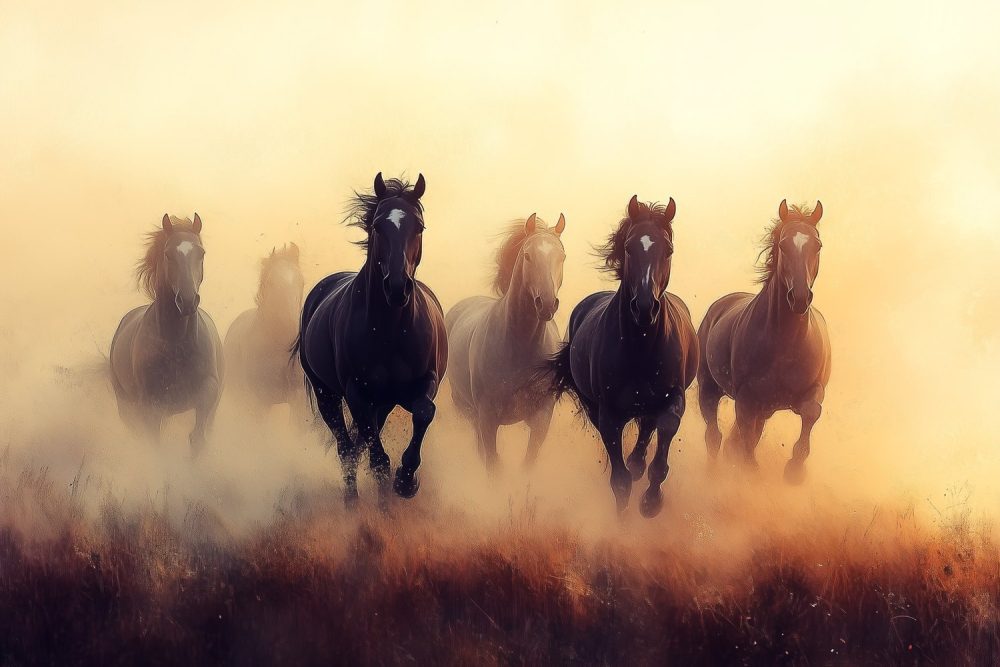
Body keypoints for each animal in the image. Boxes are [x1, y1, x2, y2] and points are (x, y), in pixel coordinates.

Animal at [109, 214, 224, 455]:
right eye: (168, 254)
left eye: (201, 253)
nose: (188, 301)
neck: (176, 346)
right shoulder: (149, 405)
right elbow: (155, 444)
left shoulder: (209, 389)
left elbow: (197, 436)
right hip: (126, 407)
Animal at [295, 173, 447, 508]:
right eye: (378, 226)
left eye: (419, 226)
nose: (398, 287)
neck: (391, 330)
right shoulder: (357, 394)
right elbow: (376, 458)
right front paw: (388, 498)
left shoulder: (423, 382)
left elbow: (424, 412)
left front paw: (406, 481)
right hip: (327, 394)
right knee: (346, 447)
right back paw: (352, 502)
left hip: (383, 402)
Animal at [446, 213, 567, 470]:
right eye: (527, 255)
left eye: (562, 256)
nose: (547, 304)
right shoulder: (487, 418)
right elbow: (493, 464)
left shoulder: (542, 417)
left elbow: (528, 464)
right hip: (465, 409)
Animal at [549, 195, 699, 517]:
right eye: (629, 247)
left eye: (668, 249)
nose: (644, 307)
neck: (640, 348)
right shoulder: (609, 414)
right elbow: (620, 481)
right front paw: (622, 520)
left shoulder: (672, 399)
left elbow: (663, 434)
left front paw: (651, 502)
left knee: (648, 430)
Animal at [697, 200, 831, 483]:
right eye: (783, 245)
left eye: (817, 245)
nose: (799, 297)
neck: (785, 343)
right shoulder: (747, 399)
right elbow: (746, 443)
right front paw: (751, 475)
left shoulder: (813, 389)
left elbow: (811, 412)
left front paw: (794, 470)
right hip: (709, 388)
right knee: (714, 436)